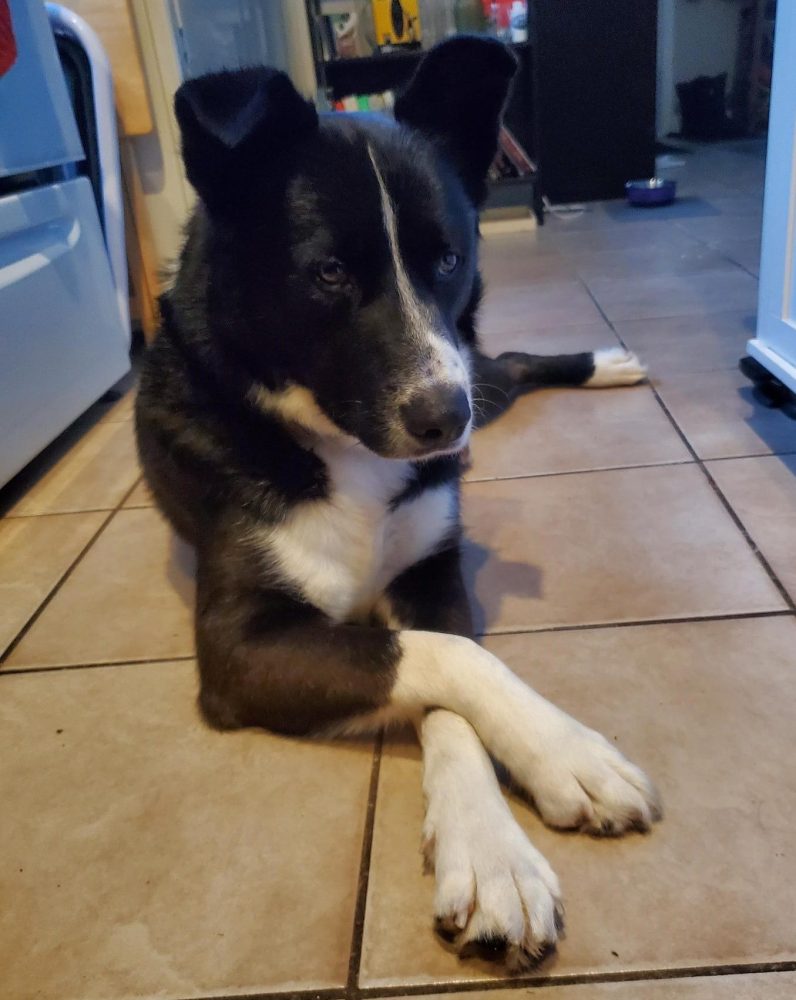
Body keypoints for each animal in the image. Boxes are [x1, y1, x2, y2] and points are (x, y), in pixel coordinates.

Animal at [135, 37, 660, 968]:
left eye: (448, 259)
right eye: (329, 273)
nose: (444, 422)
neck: (343, 452)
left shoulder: (432, 565)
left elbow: (452, 657)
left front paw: (501, 832)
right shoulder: (239, 647)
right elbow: (446, 662)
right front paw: (554, 776)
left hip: (479, 370)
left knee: (508, 362)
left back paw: (605, 362)